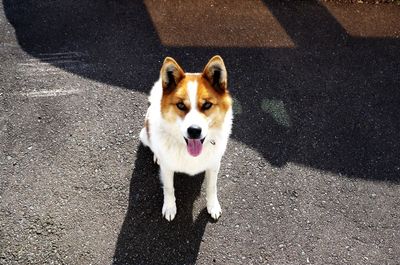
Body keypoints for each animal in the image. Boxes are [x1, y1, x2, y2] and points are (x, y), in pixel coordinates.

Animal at [141, 55, 233, 221]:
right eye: (181, 105)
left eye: (207, 105)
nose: (194, 131)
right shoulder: (167, 168)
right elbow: (169, 188)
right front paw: (170, 207)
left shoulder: (214, 164)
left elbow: (212, 187)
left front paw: (213, 206)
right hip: (145, 134)